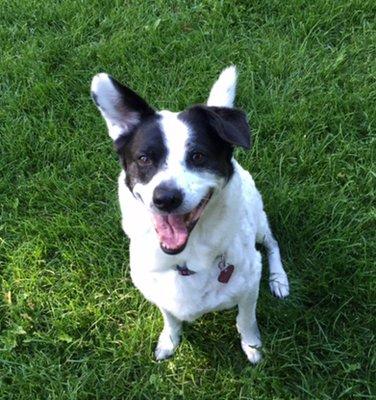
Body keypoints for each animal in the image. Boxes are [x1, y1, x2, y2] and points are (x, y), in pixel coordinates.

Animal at [89, 66, 290, 362]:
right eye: (144, 158)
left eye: (198, 156)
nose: (165, 198)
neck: (186, 258)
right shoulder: (158, 292)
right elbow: (170, 318)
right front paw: (170, 341)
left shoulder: (250, 285)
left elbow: (245, 321)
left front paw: (252, 347)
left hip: (259, 220)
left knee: (273, 244)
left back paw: (279, 280)